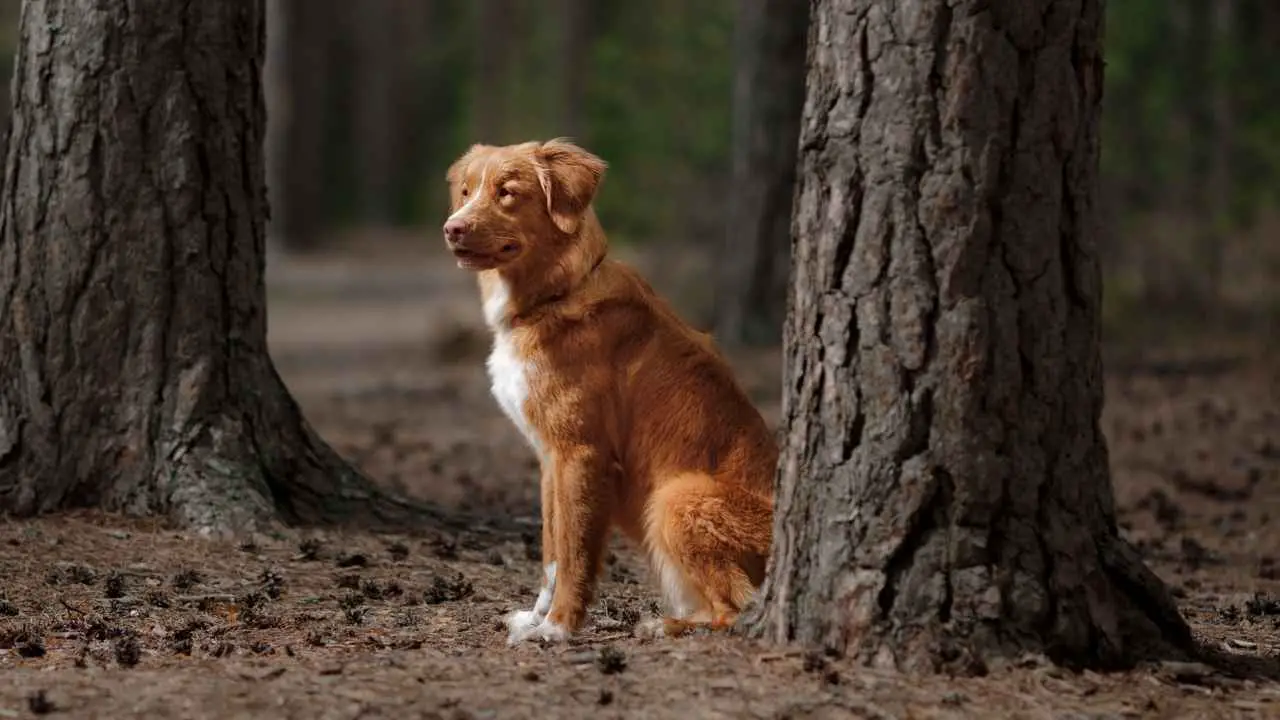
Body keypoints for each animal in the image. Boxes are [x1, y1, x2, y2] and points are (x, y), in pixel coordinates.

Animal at [445, 137, 773, 640]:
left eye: (507, 192)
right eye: (465, 192)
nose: (452, 229)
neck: (555, 295)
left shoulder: (580, 452)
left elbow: (575, 551)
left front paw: (559, 627)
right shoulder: (550, 459)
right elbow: (552, 550)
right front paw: (536, 618)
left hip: (677, 496)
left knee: (735, 610)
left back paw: (665, 625)